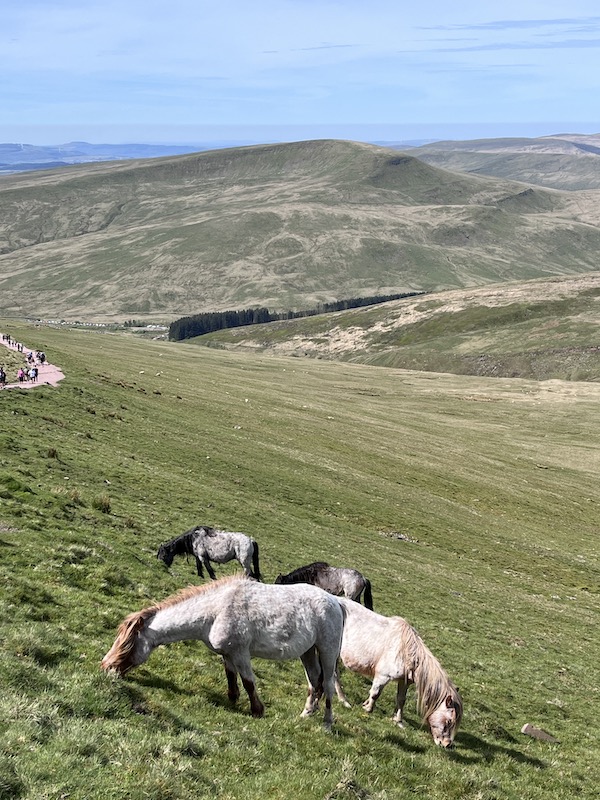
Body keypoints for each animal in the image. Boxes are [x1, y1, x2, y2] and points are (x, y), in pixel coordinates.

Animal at [102, 576, 344, 732]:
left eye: (128, 644)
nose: (106, 667)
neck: (216, 610)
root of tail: (337, 603)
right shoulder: (227, 654)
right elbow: (231, 679)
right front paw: (233, 702)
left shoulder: (240, 653)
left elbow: (248, 682)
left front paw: (257, 711)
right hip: (308, 652)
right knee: (315, 682)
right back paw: (306, 713)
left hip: (327, 651)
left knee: (328, 685)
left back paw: (327, 723)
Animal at [336, 604, 462, 748]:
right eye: (449, 721)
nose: (447, 744)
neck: (406, 651)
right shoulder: (383, 676)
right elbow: (375, 693)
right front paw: (368, 708)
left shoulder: (403, 681)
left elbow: (401, 699)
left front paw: (398, 721)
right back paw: (343, 700)